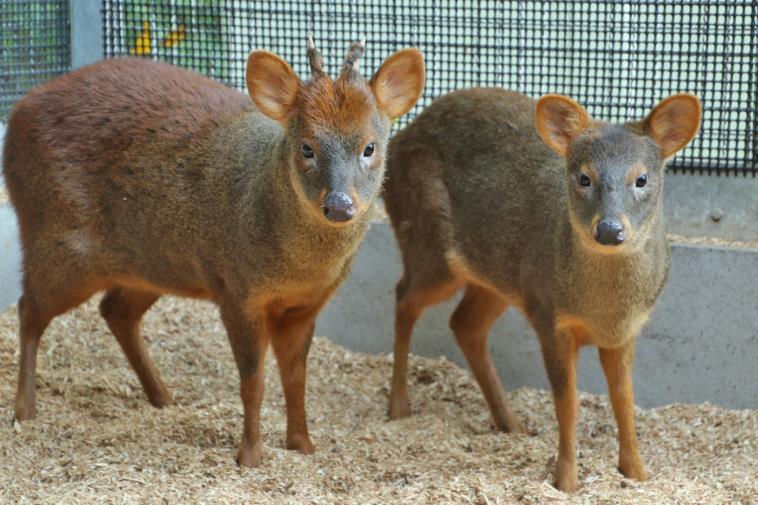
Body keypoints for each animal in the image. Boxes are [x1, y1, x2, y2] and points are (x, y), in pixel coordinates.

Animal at [1, 37, 428, 466]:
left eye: (369, 147)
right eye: (307, 147)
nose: (339, 205)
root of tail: (18, 113)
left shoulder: (305, 306)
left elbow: (295, 379)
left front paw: (303, 445)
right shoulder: (237, 293)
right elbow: (253, 382)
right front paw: (250, 456)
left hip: (152, 263)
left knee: (115, 310)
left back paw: (162, 398)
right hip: (59, 246)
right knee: (28, 309)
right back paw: (25, 410)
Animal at [382, 88, 704, 490]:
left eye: (641, 179)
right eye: (583, 177)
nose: (609, 230)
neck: (603, 309)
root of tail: (399, 138)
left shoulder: (625, 331)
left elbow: (624, 399)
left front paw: (637, 473)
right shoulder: (549, 318)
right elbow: (567, 404)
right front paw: (565, 480)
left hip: (501, 277)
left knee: (464, 323)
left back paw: (511, 424)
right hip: (429, 245)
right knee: (404, 296)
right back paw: (398, 406)